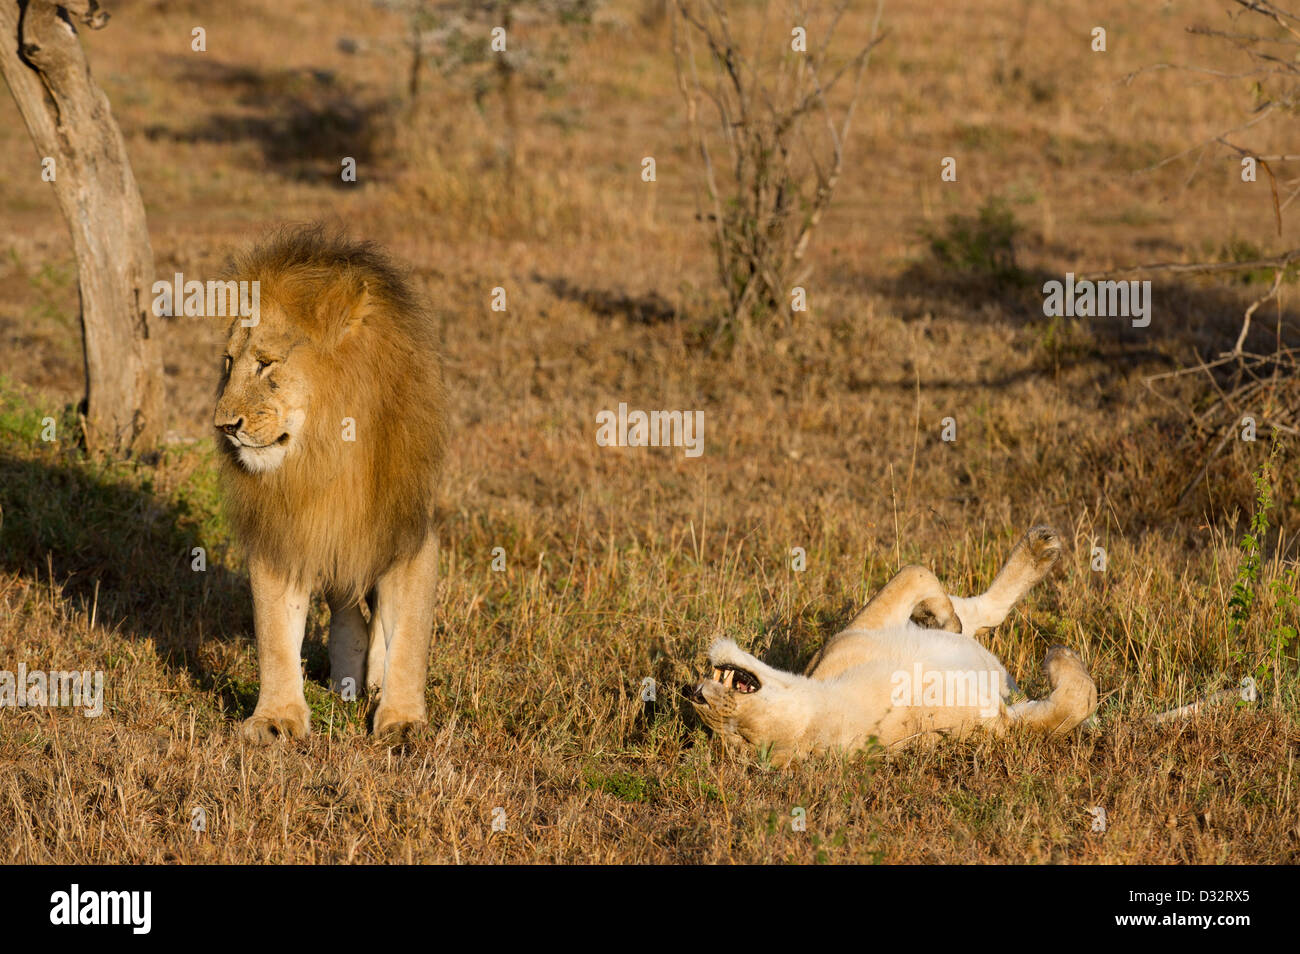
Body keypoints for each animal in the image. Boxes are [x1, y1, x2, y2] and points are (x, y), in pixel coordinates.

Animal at [213, 225, 448, 743]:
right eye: (228, 363)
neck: (325, 455)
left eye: (266, 363)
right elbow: (275, 636)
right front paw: (276, 718)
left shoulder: (408, 531)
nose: (224, 426)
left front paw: (403, 721)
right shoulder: (282, 533)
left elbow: (410, 637)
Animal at [686, 526, 1098, 764]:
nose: (698, 697)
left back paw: (1039, 548)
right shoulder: (996, 725)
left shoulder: (856, 634)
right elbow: (1072, 705)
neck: (823, 704)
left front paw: (942, 618)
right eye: (739, 737)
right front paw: (1060, 658)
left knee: (980, 610)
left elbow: (916, 572)